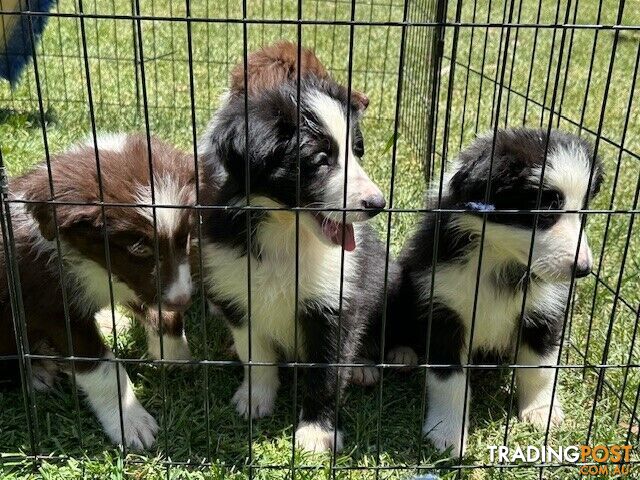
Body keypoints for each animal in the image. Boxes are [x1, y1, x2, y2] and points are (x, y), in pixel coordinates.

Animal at [0, 134, 195, 450]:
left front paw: (173, 354)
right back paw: (36, 372)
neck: (94, 265)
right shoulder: (52, 309)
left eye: (185, 237)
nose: (183, 301)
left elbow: (160, 311)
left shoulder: (129, 281)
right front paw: (130, 421)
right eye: (138, 247)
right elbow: (103, 368)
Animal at [198, 76, 398, 454]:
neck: (287, 233)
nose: (378, 204)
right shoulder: (238, 292)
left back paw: (365, 366)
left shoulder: (335, 305)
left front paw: (316, 433)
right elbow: (256, 354)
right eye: (320, 159)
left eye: (357, 151)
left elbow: (327, 373)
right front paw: (255, 398)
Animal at [388, 128, 604, 458]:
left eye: (584, 212)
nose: (583, 269)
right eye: (545, 210)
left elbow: (540, 368)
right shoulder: (444, 308)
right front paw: (447, 434)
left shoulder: (543, 312)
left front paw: (540, 412)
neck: (498, 257)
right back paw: (402, 353)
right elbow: (448, 380)